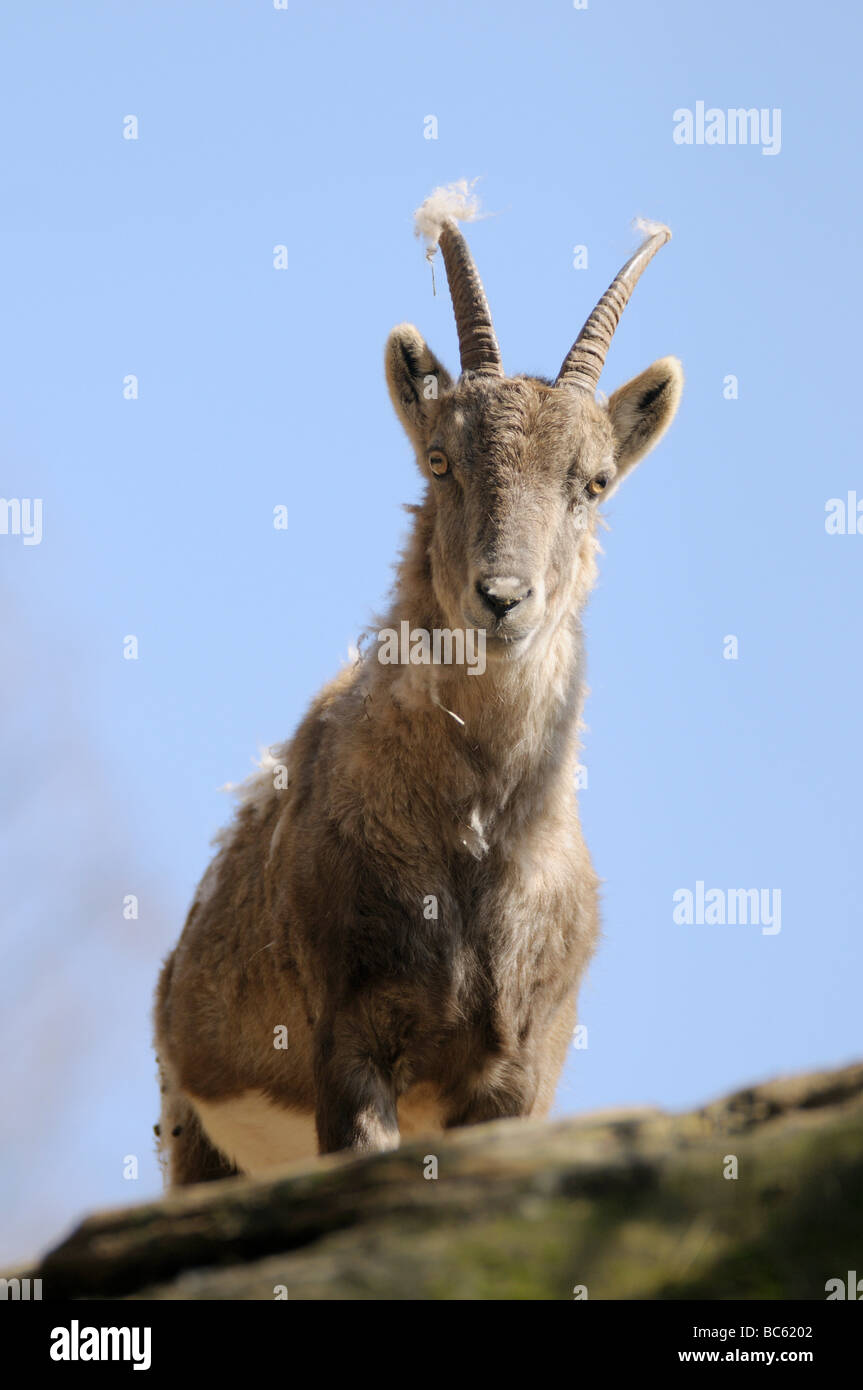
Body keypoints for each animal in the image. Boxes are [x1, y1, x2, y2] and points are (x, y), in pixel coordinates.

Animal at [152, 182, 680, 1184]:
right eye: (441, 460)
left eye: (592, 483)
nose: (502, 599)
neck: (475, 841)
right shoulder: (351, 1041)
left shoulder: (520, 1072)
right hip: (191, 1132)